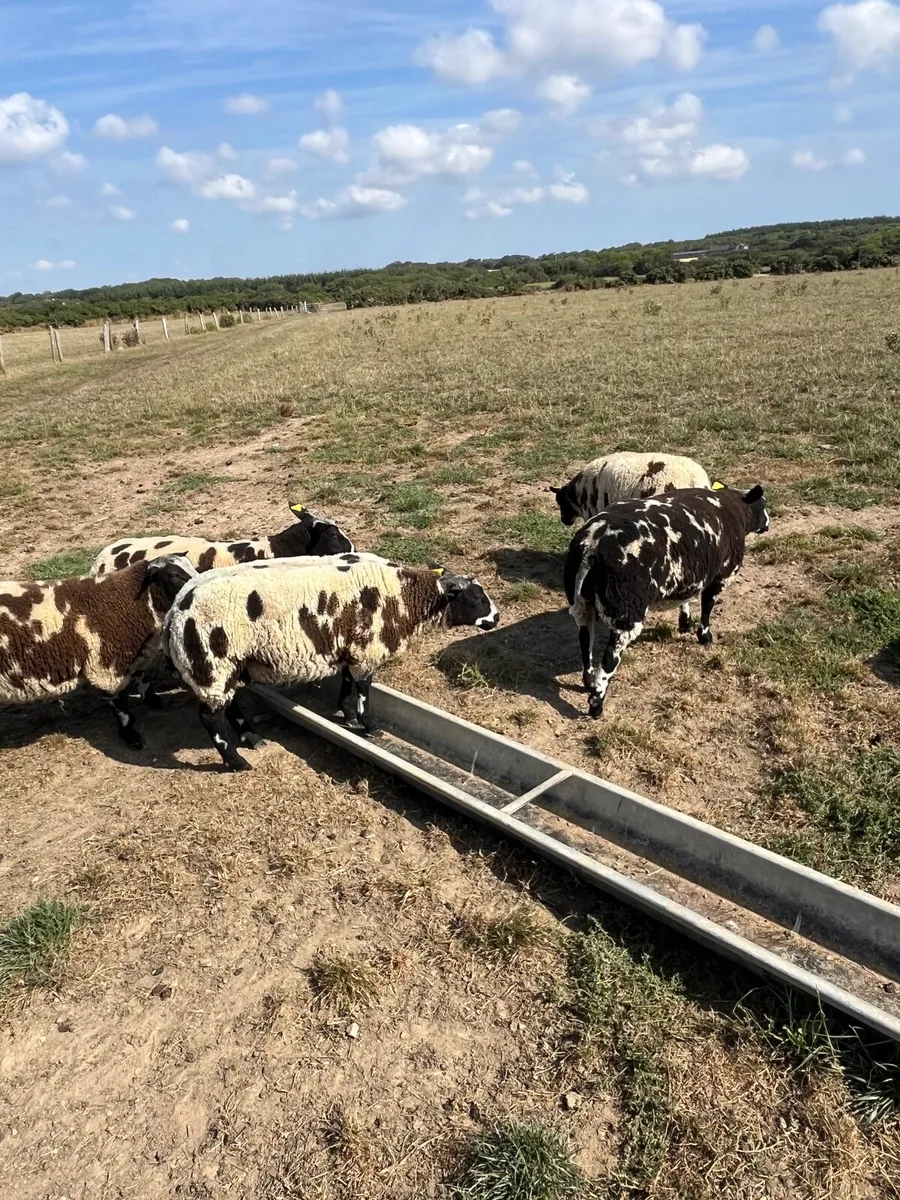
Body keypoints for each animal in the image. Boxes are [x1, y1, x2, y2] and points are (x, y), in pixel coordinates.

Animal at [0, 554, 196, 750]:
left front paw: (153, 700)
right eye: (174, 575)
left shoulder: (138, 653)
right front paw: (131, 736)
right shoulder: (110, 665)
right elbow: (121, 704)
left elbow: (142, 677)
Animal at [148, 552, 500, 772]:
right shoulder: (367, 650)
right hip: (211, 663)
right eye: (476, 597)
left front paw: (346, 713)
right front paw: (369, 726)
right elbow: (364, 690)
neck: (404, 596)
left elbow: (347, 682)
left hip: (226, 666)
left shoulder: (349, 647)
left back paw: (251, 738)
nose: (496, 618)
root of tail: (175, 612)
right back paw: (236, 762)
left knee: (228, 707)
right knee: (210, 718)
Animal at [564, 485, 769, 718]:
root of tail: (591, 546)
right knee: (609, 659)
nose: (768, 524)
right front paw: (705, 637)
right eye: (763, 503)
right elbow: (707, 607)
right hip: (626, 609)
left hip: (582, 603)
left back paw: (588, 681)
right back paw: (596, 704)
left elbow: (686, 599)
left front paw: (685, 623)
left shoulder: (689, 574)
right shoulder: (720, 575)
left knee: (584, 638)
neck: (737, 512)